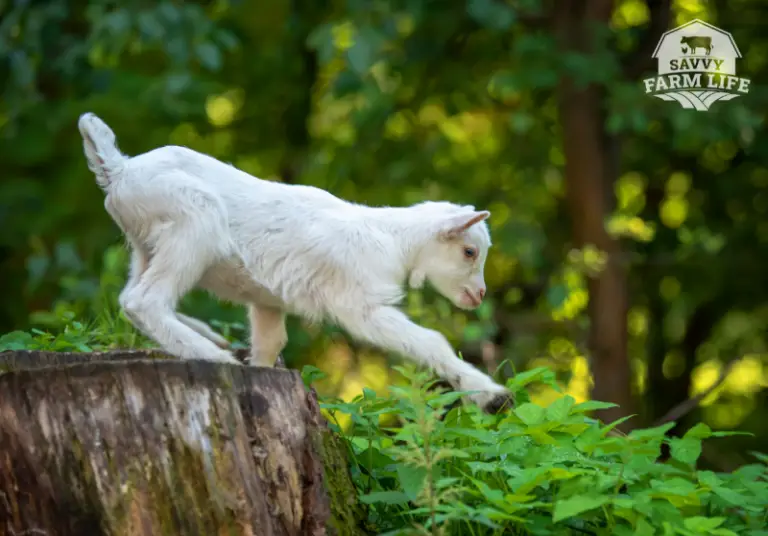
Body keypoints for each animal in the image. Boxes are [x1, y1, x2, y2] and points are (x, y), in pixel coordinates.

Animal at [77, 112, 512, 413]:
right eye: (470, 252)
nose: (479, 294)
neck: (391, 240)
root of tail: (120, 169)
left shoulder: (267, 302)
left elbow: (271, 344)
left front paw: (259, 371)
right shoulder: (361, 307)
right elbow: (431, 341)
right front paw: (491, 395)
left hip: (146, 246)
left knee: (130, 297)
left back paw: (212, 341)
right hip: (194, 224)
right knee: (144, 301)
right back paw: (214, 356)